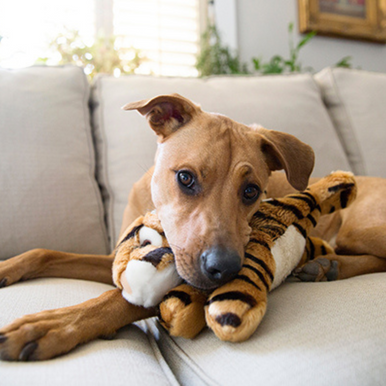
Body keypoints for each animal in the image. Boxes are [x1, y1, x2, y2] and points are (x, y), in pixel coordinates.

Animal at [0, 94, 386, 362]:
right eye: (185, 178)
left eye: (252, 191)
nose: (224, 269)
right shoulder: (115, 258)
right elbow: (45, 252)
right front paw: (7, 267)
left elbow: (118, 301)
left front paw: (51, 325)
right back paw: (326, 265)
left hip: (358, 229)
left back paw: (328, 265)